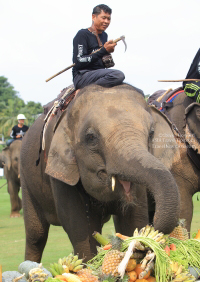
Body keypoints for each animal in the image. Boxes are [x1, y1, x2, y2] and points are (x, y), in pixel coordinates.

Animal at [19, 83, 180, 262]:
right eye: (90, 137)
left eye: (151, 133)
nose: (154, 220)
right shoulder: (60, 172)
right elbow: (80, 227)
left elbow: (133, 219)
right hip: (26, 177)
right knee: (36, 235)